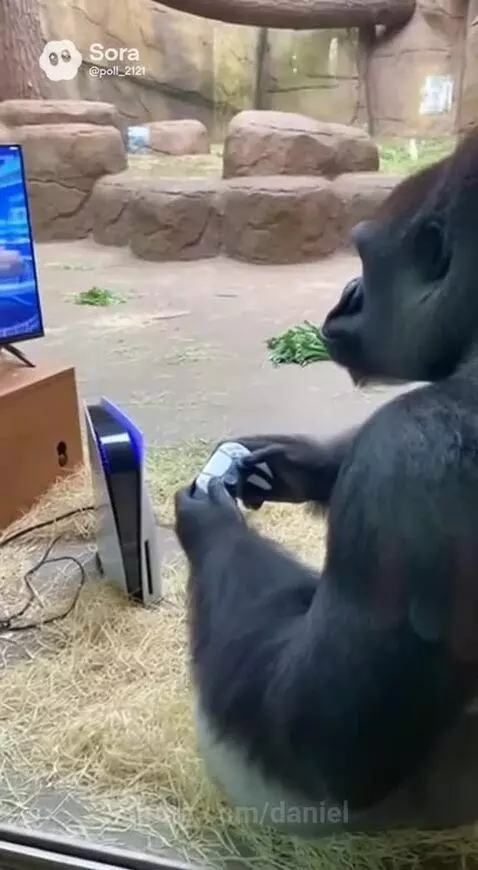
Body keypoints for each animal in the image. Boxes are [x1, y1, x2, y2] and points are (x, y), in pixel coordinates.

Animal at [174, 128, 478, 832]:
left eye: (364, 256)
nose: (347, 295)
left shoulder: (407, 458)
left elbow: (316, 738)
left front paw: (210, 523)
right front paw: (282, 462)